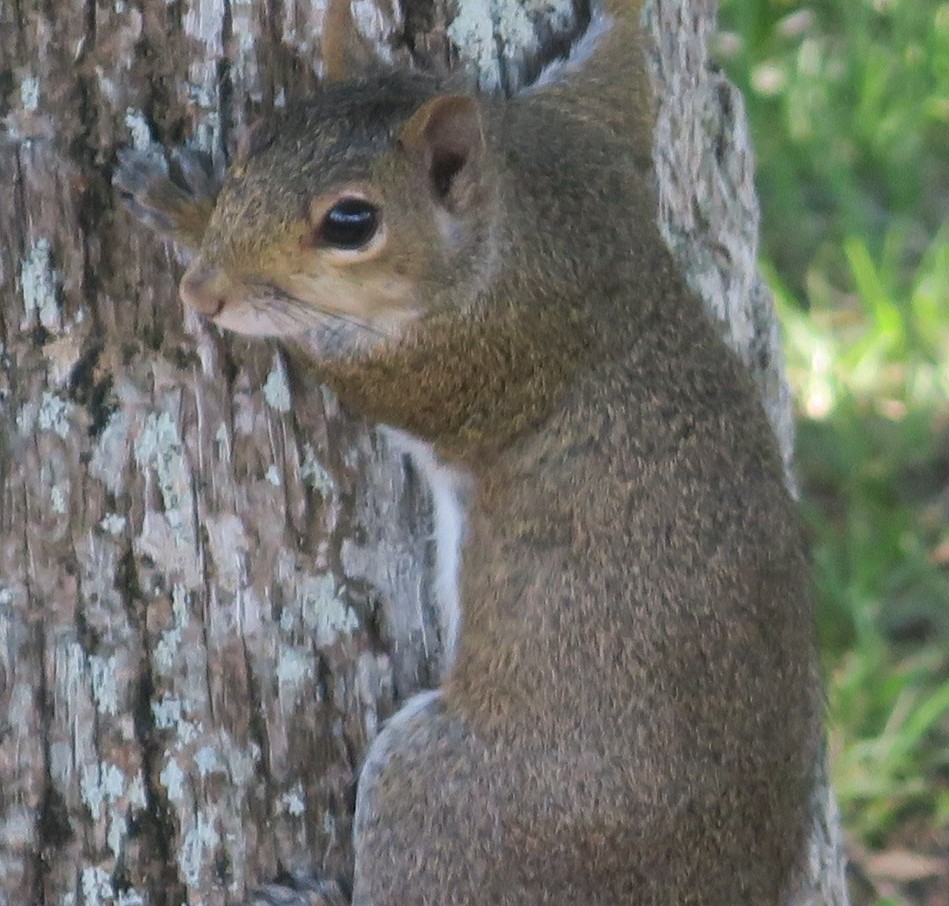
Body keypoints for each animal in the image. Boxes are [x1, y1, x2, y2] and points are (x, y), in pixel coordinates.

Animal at [115, 0, 824, 901]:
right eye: (250, 146)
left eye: (351, 221)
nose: (202, 292)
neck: (525, 219)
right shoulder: (590, 139)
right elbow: (624, 73)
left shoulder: (477, 362)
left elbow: (349, 363)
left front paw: (180, 209)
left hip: (450, 799)